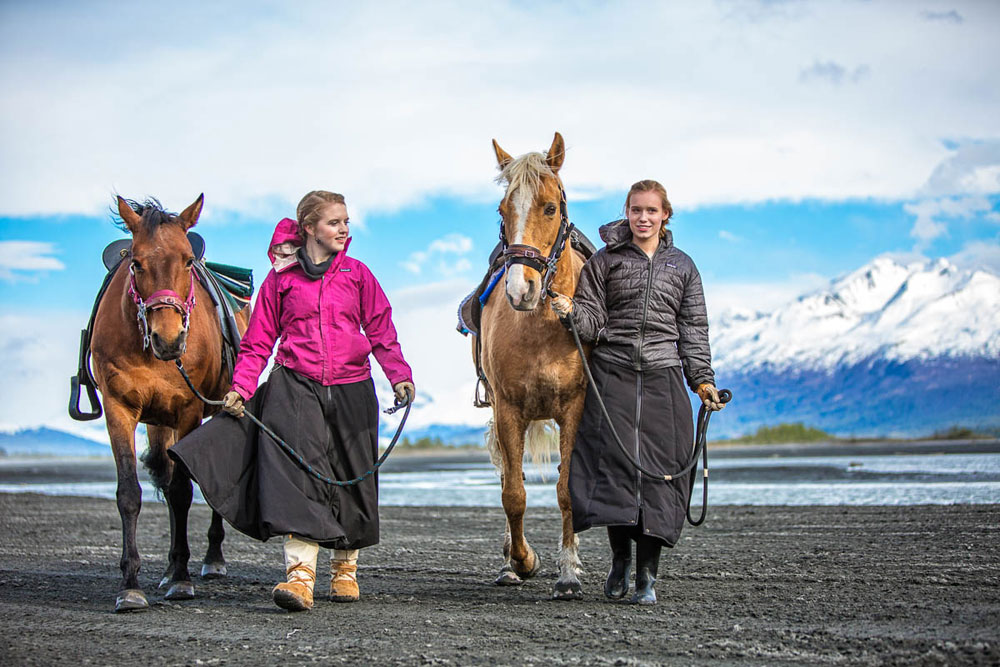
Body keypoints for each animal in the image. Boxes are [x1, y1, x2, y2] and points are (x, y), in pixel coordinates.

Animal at [91, 196, 249, 612]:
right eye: (135, 262)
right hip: (157, 420)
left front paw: (181, 577)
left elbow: (182, 491)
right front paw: (131, 584)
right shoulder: (119, 409)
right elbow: (129, 493)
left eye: (188, 261)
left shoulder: (188, 410)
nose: (169, 338)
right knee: (162, 473)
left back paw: (211, 561)